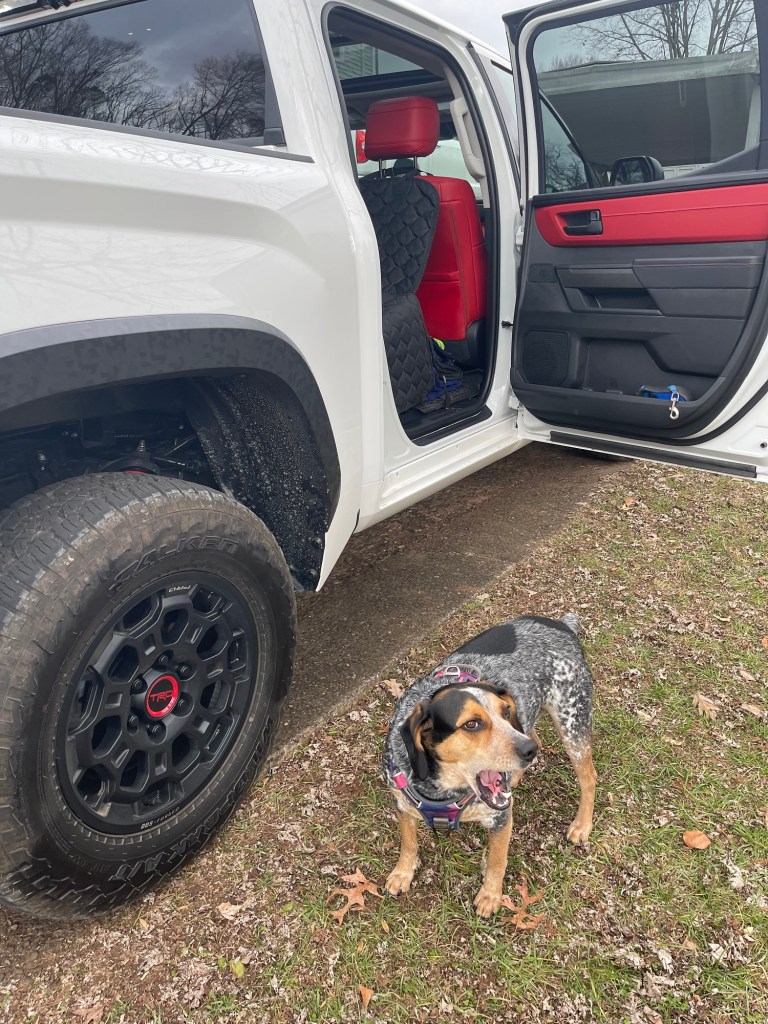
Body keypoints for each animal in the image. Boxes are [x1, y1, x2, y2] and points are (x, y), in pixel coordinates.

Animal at [382, 610, 593, 917]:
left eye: (505, 711)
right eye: (471, 724)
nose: (527, 751)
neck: (443, 789)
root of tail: (561, 624)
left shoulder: (500, 818)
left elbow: (496, 861)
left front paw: (491, 896)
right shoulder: (402, 804)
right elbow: (408, 843)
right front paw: (402, 873)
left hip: (572, 724)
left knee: (588, 778)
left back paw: (582, 825)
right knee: (536, 738)